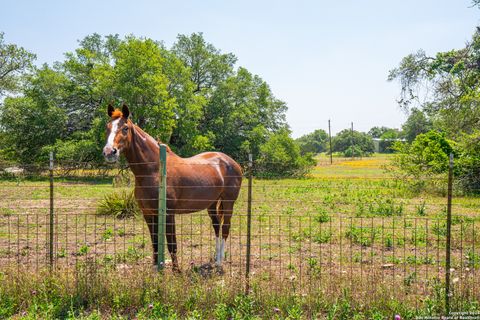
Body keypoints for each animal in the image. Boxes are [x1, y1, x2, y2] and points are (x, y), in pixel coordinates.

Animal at [102, 104, 242, 270]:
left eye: (125, 128)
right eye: (107, 127)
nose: (109, 152)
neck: (154, 170)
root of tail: (231, 162)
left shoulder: (168, 214)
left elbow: (172, 243)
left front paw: (176, 271)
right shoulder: (148, 214)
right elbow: (155, 243)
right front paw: (156, 269)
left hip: (228, 203)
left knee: (225, 228)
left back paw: (220, 263)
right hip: (212, 204)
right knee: (217, 227)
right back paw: (215, 258)